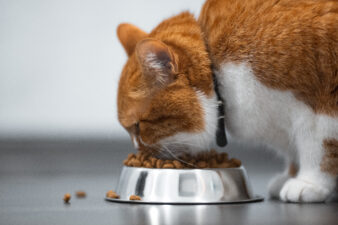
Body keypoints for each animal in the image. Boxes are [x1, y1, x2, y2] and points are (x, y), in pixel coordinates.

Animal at [115, 0, 336, 203]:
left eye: (138, 126)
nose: (138, 150)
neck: (218, 68)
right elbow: (295, 151)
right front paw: (290, 175)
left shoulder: (321, 110)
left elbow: (319, 147)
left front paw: (310, 182)